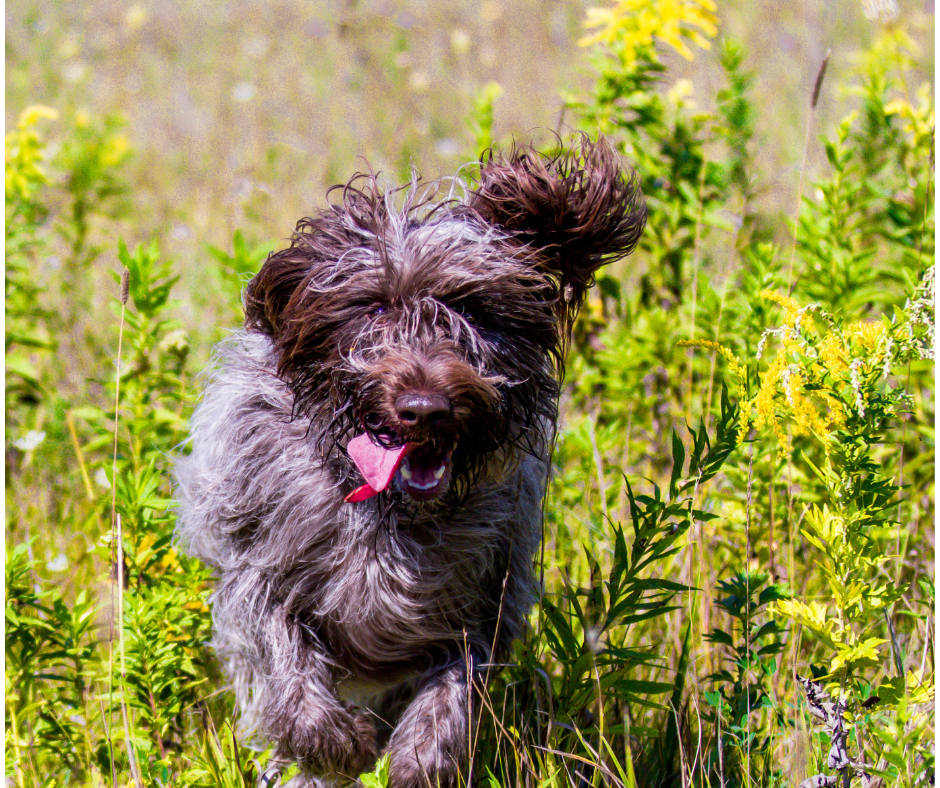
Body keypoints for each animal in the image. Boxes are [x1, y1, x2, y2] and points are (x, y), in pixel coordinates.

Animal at [173, 139, 648, 784]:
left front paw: (422, 758)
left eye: (473, 309)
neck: (387, 511)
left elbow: (452, 691)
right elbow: (283, 660)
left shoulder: (482, 605)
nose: (425, 410)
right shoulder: (256, 575)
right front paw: (333, 744)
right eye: (374, 309)